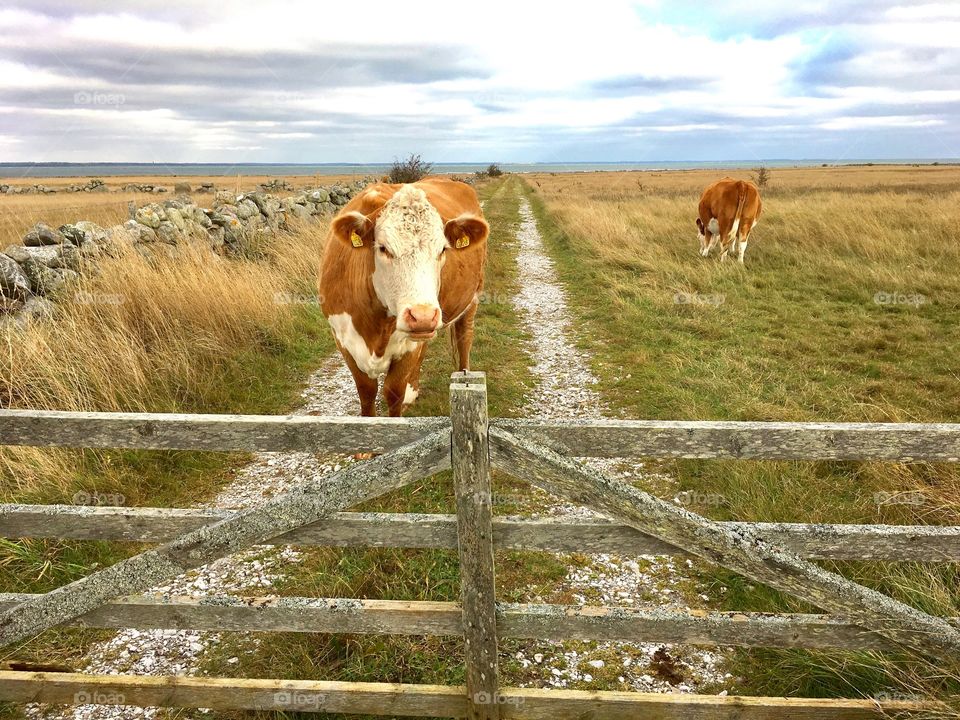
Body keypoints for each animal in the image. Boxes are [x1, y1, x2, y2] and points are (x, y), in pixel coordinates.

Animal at [320, 176, 488, 416]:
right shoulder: (343, 340)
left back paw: (465, 376)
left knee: (464, 337)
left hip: (472, 297)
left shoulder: (407, 349)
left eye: (442, 250)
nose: (423, 316)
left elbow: (393, 392)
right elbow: (366, 393)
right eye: (383, 248)